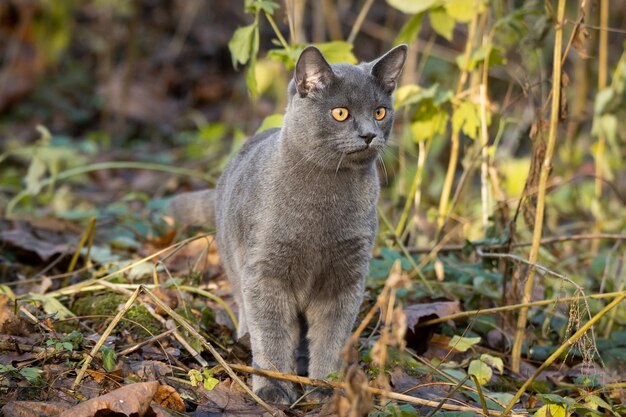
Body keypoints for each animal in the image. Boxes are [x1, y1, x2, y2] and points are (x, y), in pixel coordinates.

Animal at [169, 44, 404, 402]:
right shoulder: (265, 273)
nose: (368, 134)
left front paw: (326, 386)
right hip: (234, 262)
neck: (325, 202)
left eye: (380, 112)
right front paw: (273, 386)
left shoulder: (346, 277)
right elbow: (272, 334)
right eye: (340, 113)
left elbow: (331, 338)